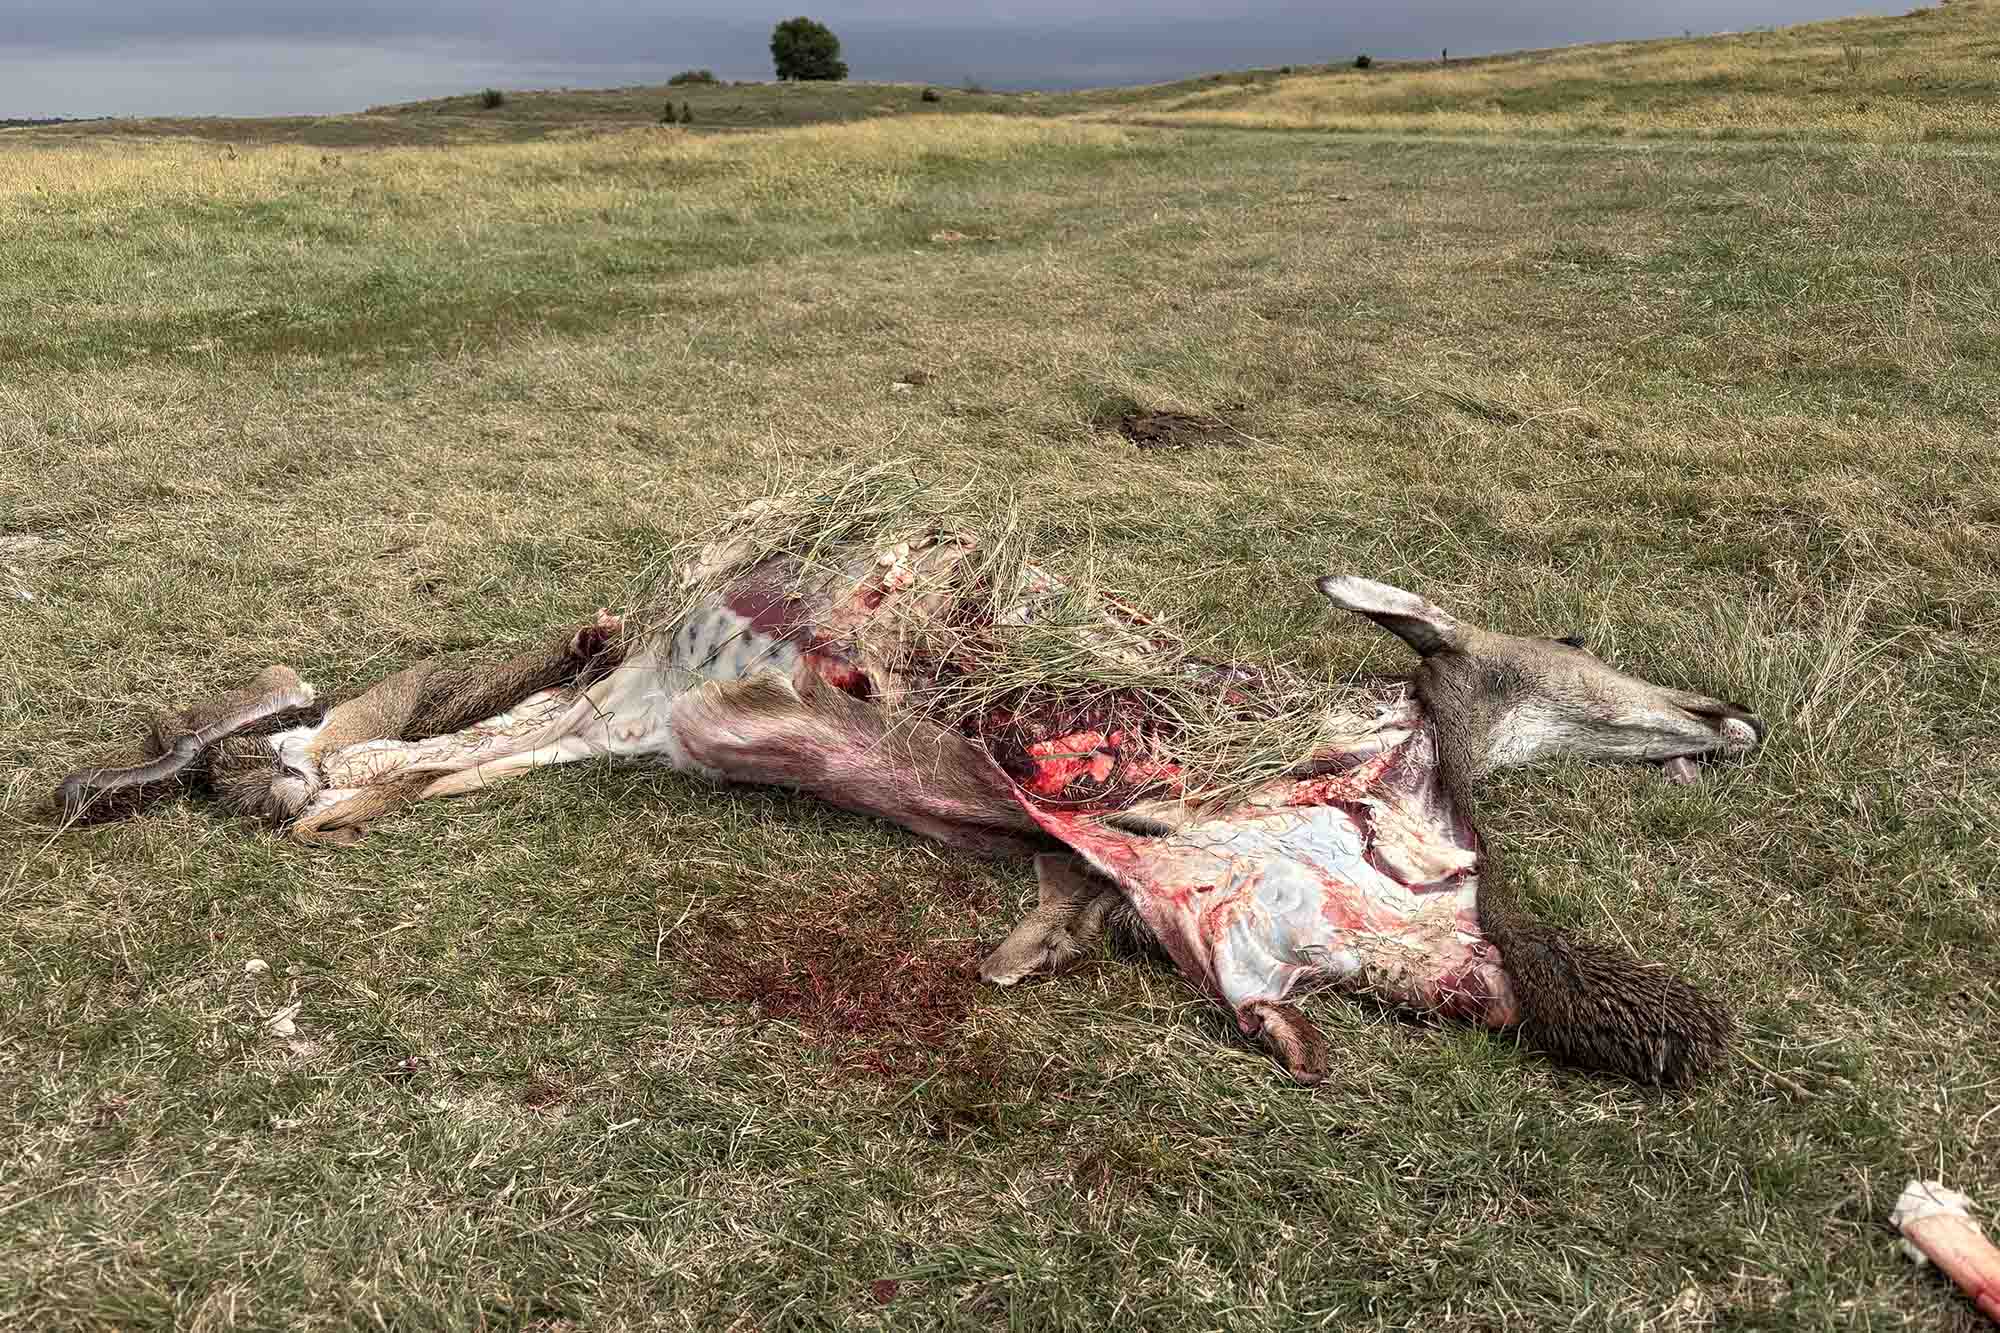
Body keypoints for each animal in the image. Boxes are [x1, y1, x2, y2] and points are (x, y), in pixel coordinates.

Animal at [53, 484, 1766, 1088]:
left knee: (438, 749)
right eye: (1580, 642)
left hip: (634, 715)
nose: (1734, 714)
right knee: (406, 749)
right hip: (644, 690)